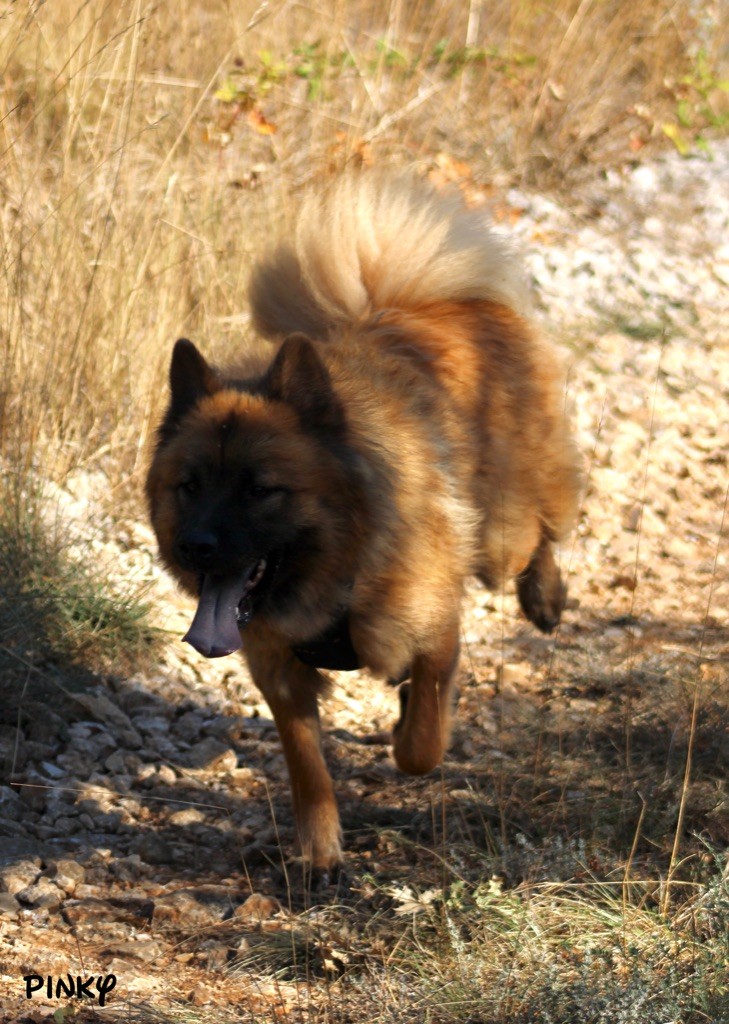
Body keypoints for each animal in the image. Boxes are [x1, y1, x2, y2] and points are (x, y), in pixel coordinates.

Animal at [146, 172, 581, 876]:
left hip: (500, 536)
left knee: (539, 534)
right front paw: (319, 851)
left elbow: (421, 745)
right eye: (190, 486)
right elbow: (307, 768)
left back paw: (545, 596)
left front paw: (410, 729)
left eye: (261, 490)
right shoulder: (279, 671)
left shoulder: (435, 630)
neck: (342, 569)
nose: (195, 549)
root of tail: (435, 300)